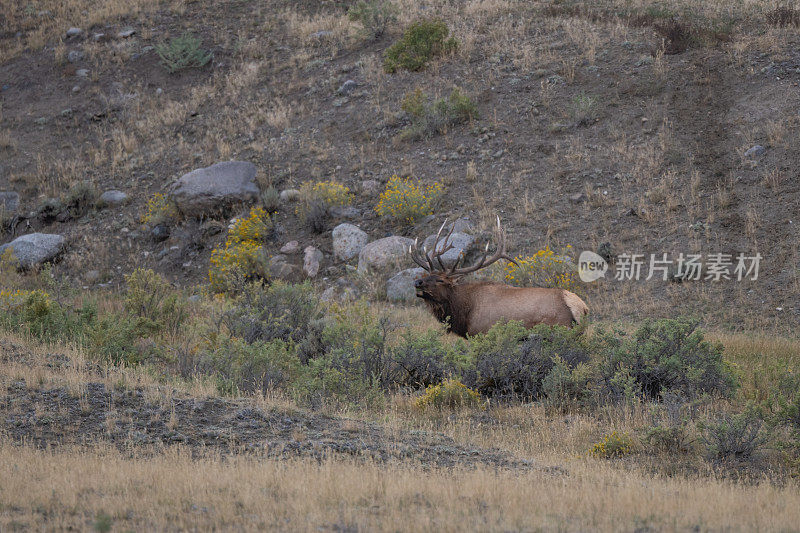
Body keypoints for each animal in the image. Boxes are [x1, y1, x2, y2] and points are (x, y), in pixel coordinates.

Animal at [412, 217, 588, 336]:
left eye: (441, 280)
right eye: (428, 275)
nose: (417, 282)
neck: (464, 312)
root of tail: (581, 307)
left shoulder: (482, 333)